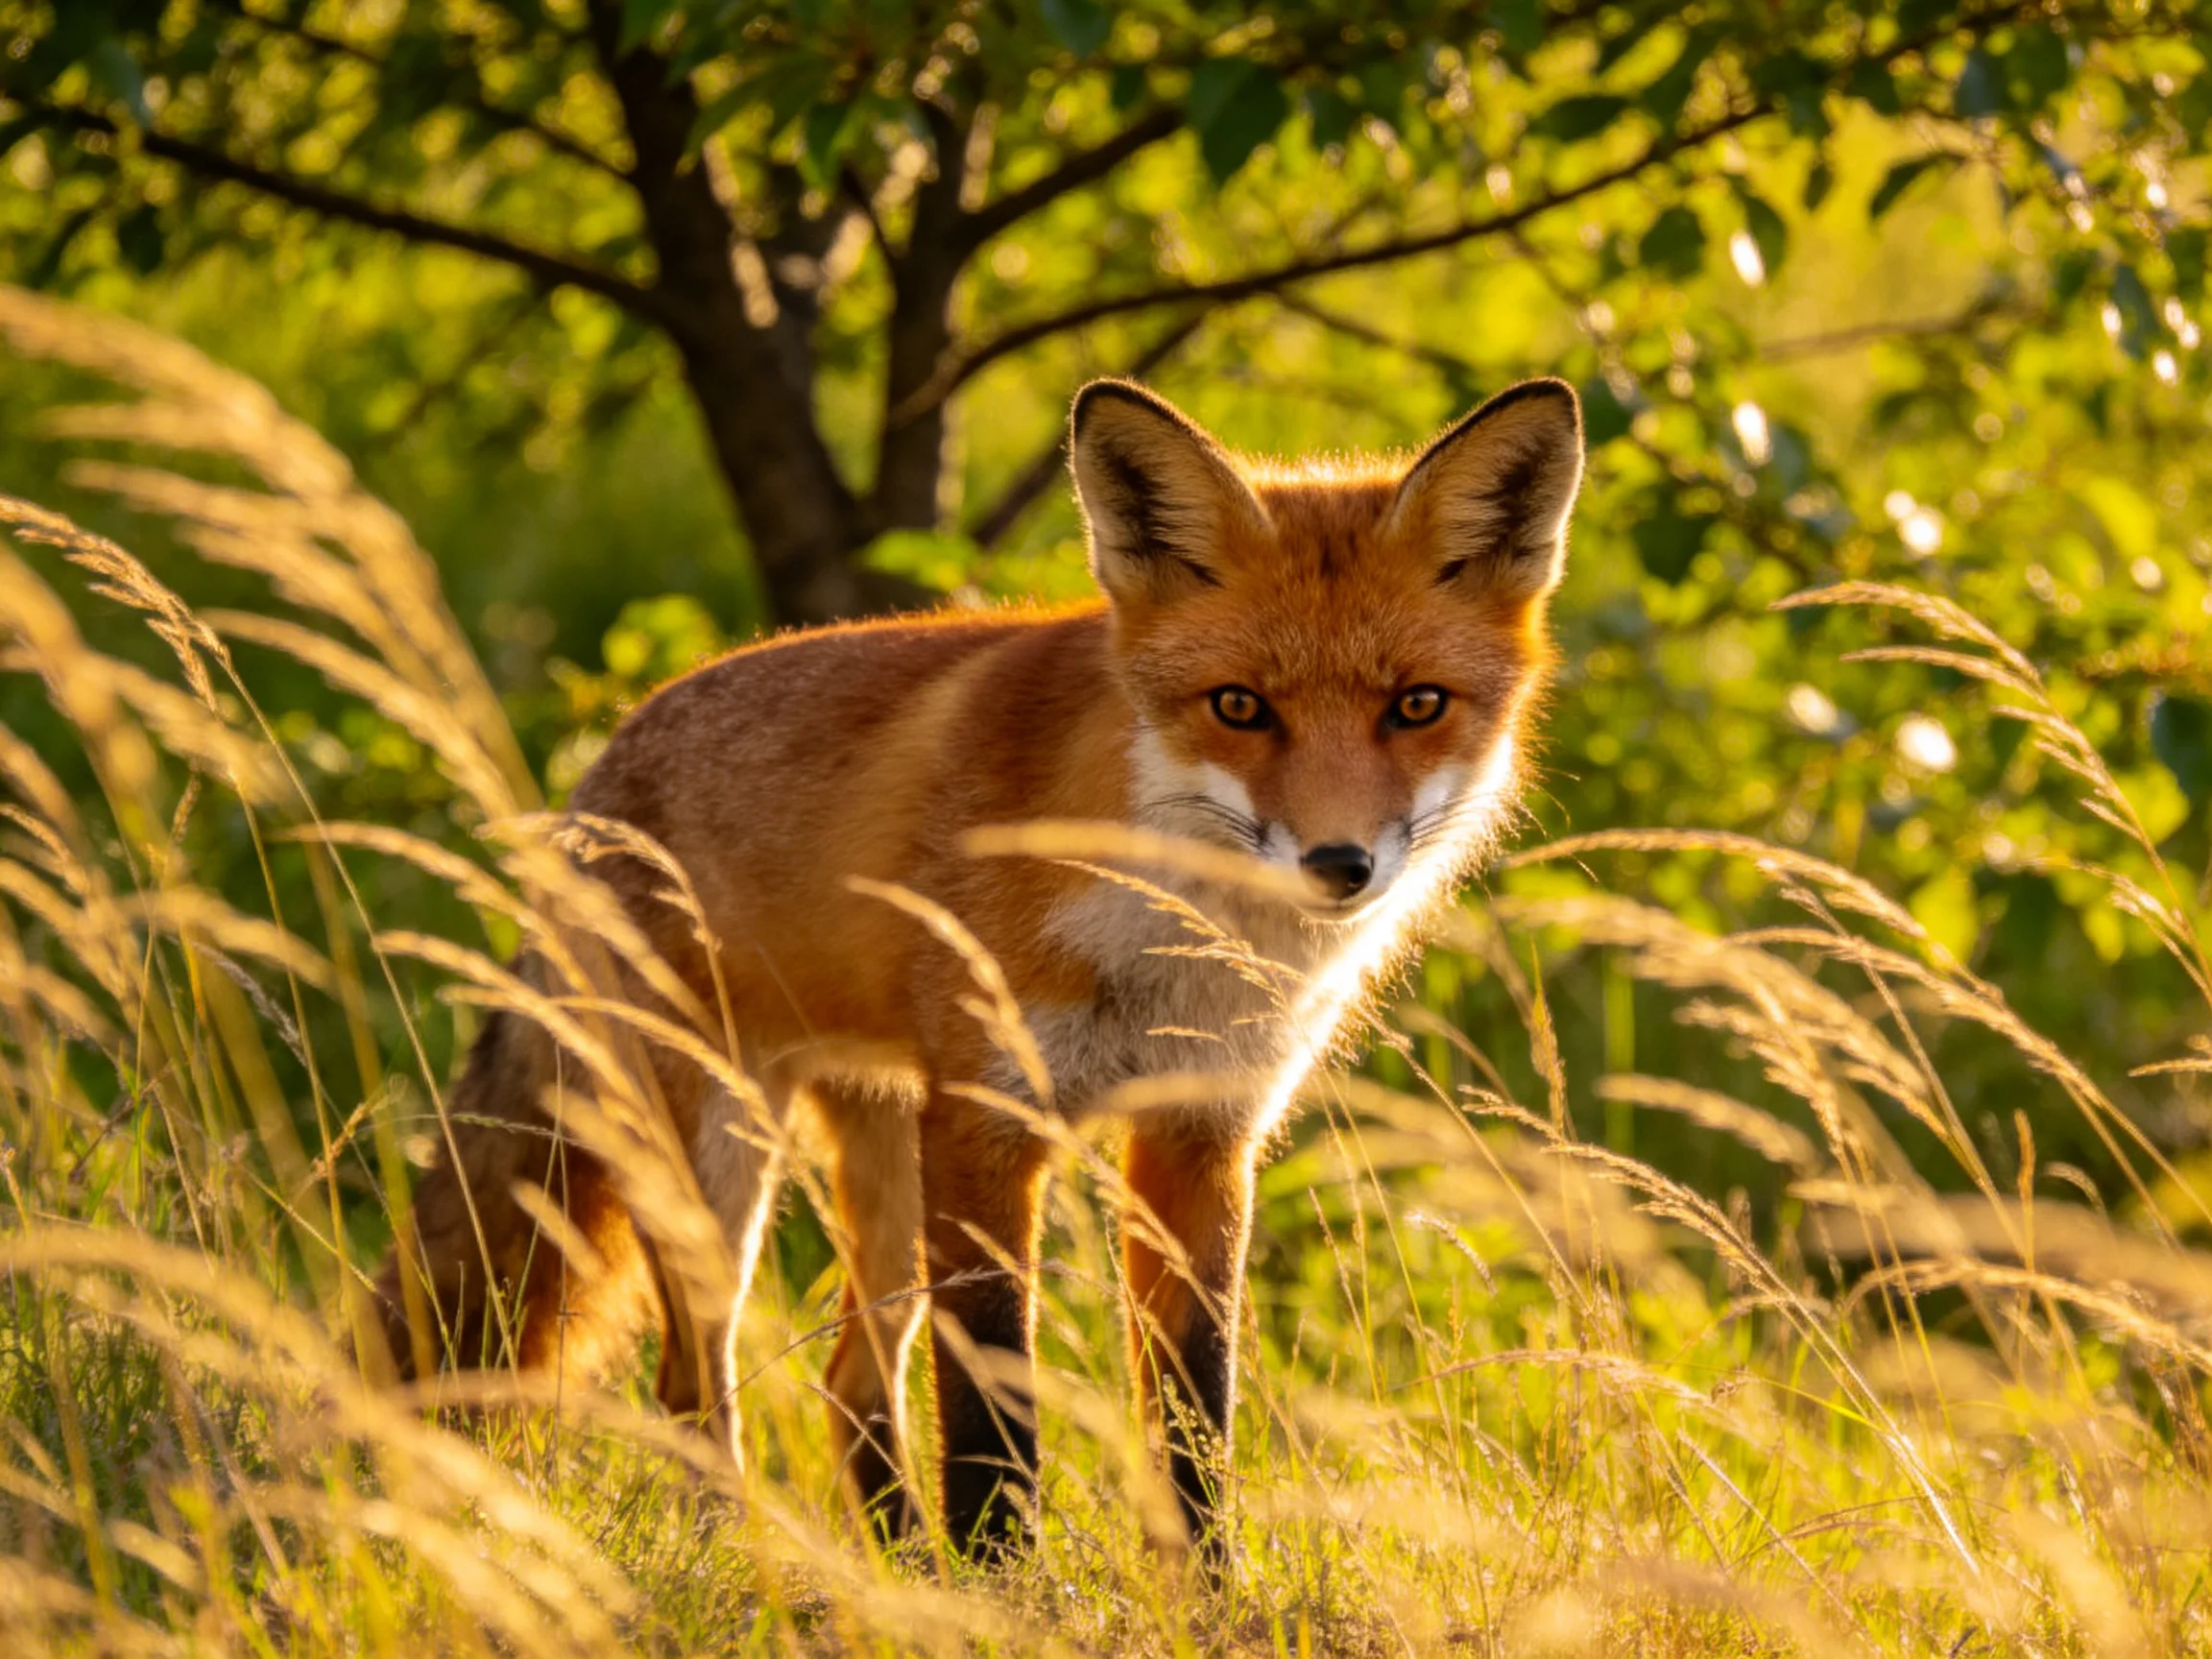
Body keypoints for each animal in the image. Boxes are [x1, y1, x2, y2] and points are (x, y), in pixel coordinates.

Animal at [373, 375, 1583, 1556]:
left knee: (850, 1379)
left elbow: (1195, 1415)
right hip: (721, 1165)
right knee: (694, 1383)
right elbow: (996, 1416)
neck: (1163, 948)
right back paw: (740, 1563)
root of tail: (597, 772)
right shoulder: (990, 1123)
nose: (1339, 864)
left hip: (887, 1165)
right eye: (1240, 707)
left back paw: (898, 1569)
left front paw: (1209, 1593)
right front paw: (1009, 1588)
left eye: (1416, 705)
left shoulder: (1200, 1133)